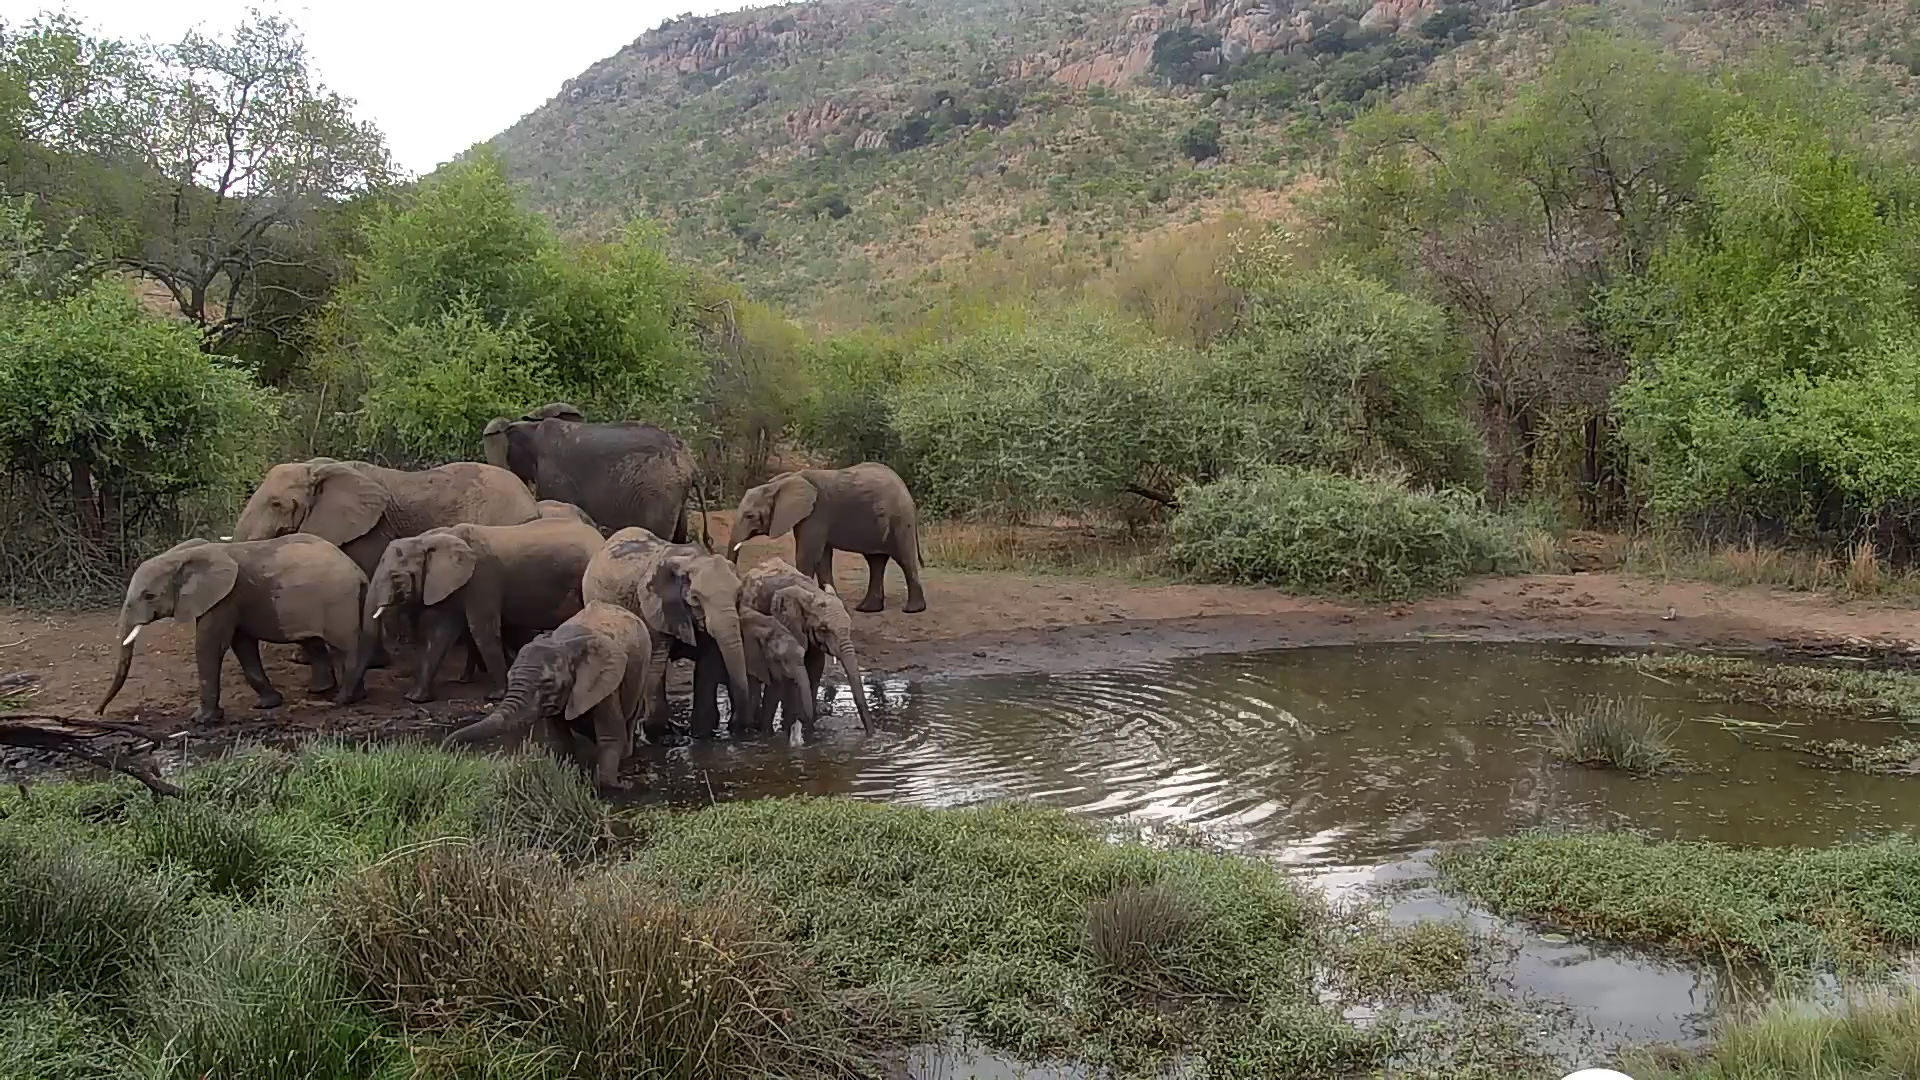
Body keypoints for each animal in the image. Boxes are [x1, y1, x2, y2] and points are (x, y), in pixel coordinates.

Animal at [98, 535, 367, 723]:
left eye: (149, 596)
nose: (98, 712)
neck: (183, 556)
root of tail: (359, 572)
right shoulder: (230, 601)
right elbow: (242, 645)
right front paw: (267, 705)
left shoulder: (225, 598)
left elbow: (209, 646)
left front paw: (202, 720)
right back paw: (333, 693)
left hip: (338, 602)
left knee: (346, 646)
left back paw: (342, 700)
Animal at [351, 516, 605, 703]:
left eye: (396, 578)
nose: (350, 699)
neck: (430, 539)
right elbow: (441, 634)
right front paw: (415, 698)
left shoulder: (481, 577)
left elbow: (482, 629)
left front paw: (496, 695)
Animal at [440, 602, 651, 790]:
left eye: (548, 683)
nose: (445, 753)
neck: (565, 644)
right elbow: (560, 734)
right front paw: (565, 768)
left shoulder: (605, 682)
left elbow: (610, 734)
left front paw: (619, 785)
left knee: (631, 716)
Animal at [581, 527, 750, 739]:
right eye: (696, 598)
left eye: (739, 595)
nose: (733, 724)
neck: (692, 558)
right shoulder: (653, 609)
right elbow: (656, 662)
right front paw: (656, 733)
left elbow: (707, 664)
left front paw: (700, 734)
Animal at [728, 463, 926, 613]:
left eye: (750, 516)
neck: (780, 483)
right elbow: (822, 558)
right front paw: (831, 601)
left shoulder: (816, 513)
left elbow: (807, 555)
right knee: (875, 561)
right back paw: (867, 609)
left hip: (900, 520)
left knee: (905, 559)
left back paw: (912, 610)